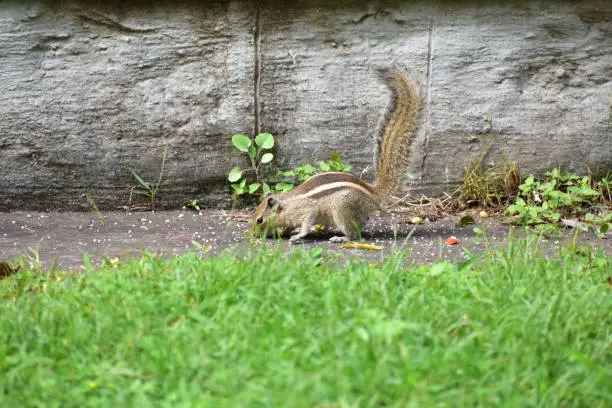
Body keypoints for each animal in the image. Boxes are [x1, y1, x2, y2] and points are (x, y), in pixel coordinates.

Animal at [249, 67, 420, 242]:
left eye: (260, 220)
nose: (252, 235)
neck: (287, 204)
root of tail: (373, 194)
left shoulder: (307, 209)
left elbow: (308, 221)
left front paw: (298, 236)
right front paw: (287, 232)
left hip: (341, 210)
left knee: (353, 234)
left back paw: (341, 238)